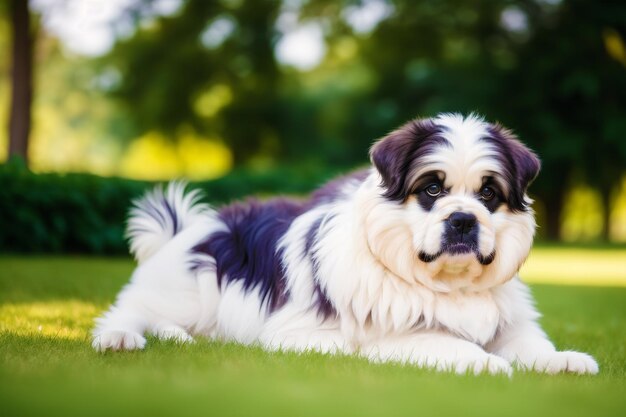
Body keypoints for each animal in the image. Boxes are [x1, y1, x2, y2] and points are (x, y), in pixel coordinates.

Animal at [92, 112, 596, 376]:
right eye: (432, 190)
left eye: (489, 195)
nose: (462, 220)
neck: (442, 284)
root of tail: (189, 229)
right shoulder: (353, 337)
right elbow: (439, 340)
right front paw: (485, 364)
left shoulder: (511, 326)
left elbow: (531, 346)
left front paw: (564, 360)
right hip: (188, 289)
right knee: (131, 310)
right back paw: (120, 338)